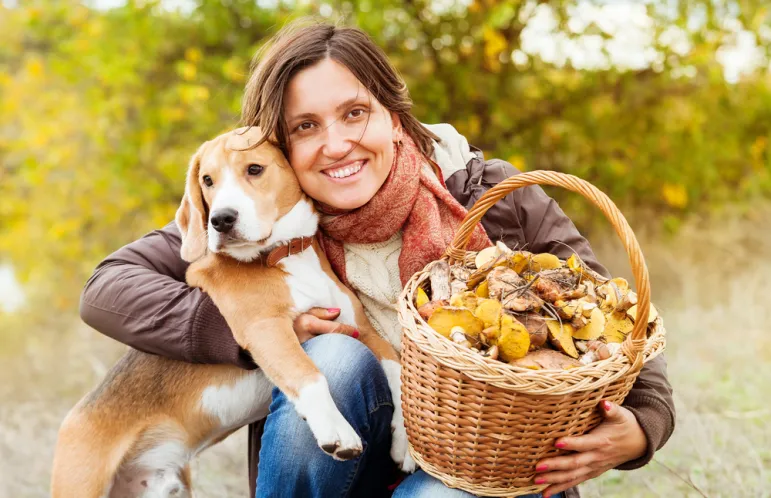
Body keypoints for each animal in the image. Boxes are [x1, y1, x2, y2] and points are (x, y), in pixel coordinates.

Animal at [52, 128, 416, 498]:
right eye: (207, 180)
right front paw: (336, 429)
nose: (221, 220)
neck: (286, 254)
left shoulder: (362, 328)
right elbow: (309, 374)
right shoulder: (267, 330)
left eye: (254, 169)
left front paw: (405, 443)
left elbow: (396, 368)